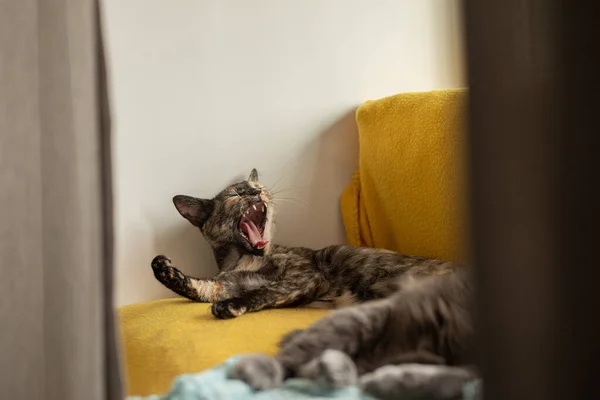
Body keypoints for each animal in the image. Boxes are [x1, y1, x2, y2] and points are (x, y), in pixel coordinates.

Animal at [151, 169, 460, 318]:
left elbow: (267, 290)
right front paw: (163, 269)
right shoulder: (226, 284)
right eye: (235, 195)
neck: (244, 259)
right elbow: (202, 288)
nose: (256, 191)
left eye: (257, 188)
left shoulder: (305, 276)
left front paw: (233, 306)